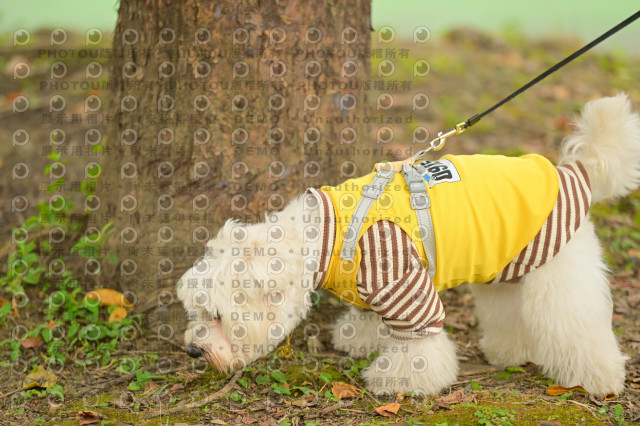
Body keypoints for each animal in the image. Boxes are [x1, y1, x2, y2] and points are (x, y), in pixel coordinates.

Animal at [177, 94, 640, 397]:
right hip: (505, 268)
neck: (328, 235)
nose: (192, 350)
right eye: (195, 311)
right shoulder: (370, 289)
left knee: (577, 327)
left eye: (217, 315)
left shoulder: (404, 285)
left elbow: (419, 345)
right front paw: (360, 339)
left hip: (560, 277)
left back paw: (599, 379)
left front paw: (400, 380)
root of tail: (573, 172)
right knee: (508, 312)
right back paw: (508, 352)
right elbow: (369, 319)